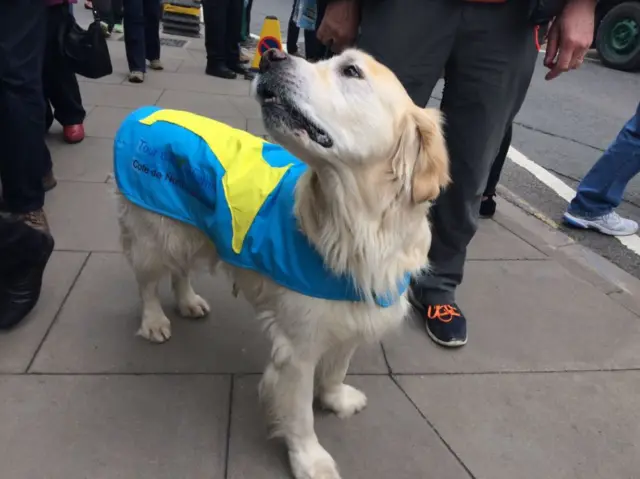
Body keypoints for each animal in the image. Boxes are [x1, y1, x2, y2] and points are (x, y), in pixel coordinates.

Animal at [115, 49, 450, 479]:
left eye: (351, 70)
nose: (273, 54)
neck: (356, 226)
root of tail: (145, 111)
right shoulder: (298, 346)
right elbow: (300, 412)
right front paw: (310, 459)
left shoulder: (353, 316)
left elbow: (338, 367)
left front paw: (336, 399)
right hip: (154, 232)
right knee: (147, 281)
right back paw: (155, 321)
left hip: (190, 229)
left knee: (181, 271)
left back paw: (188, 301)